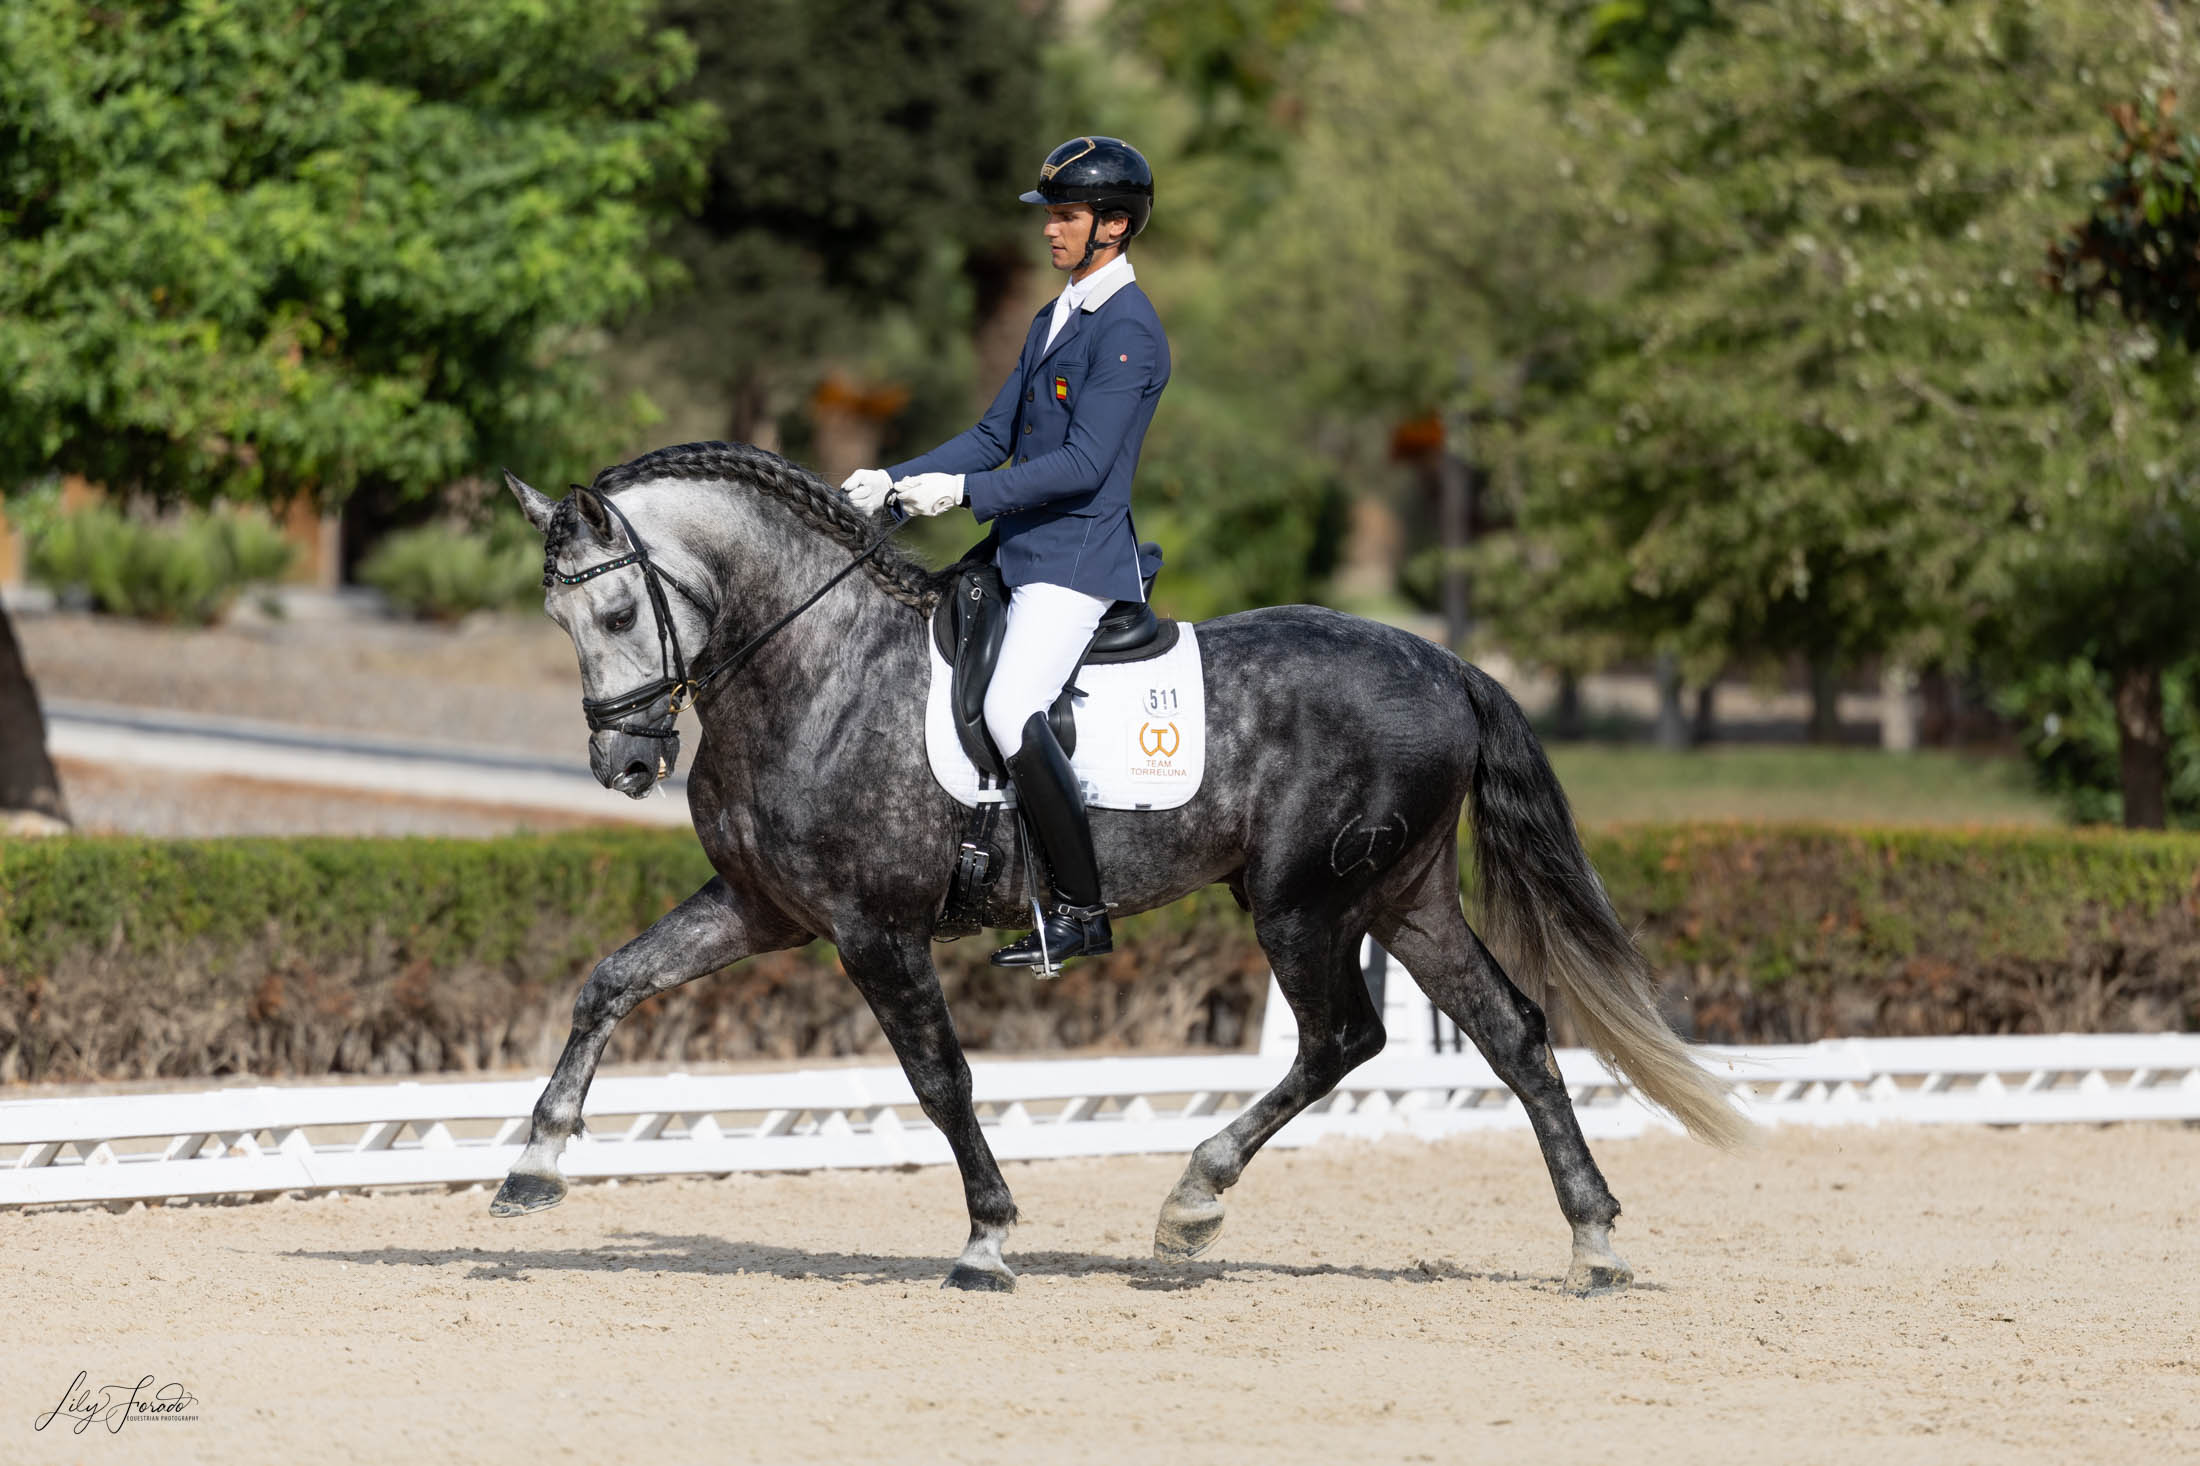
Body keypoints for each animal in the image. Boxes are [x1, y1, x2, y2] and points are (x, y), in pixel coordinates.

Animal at [490, 440, 1742, 1285]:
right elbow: (611, 979)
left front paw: (987, 1237)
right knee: (1511, 1031)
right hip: (1405, 895)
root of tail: (1449, 664)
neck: (815, 665)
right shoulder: (763, 906)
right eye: (558, 623)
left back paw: (1192, 1202)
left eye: (615, 608)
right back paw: (1591, 1240)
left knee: (1345, 1036)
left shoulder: (874, 930)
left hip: (1302, 900)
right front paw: (534, 1163)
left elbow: (941, 1078)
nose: (625, 760)